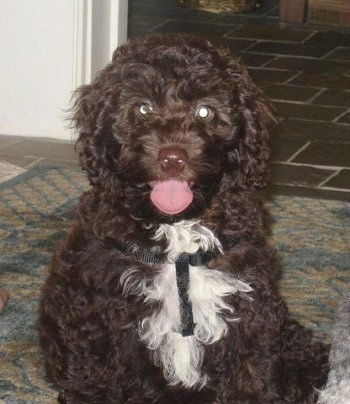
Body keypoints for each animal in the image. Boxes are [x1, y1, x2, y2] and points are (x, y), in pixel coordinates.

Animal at [39, 33, 330, 402]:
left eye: (205, 110)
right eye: (143, 107)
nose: (173, 158)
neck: (176, 230)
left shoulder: (250, 311)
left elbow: (252, 377)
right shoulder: (96, 323)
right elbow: (97, 383)